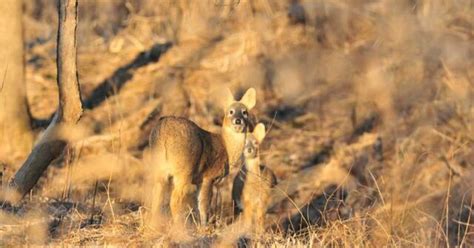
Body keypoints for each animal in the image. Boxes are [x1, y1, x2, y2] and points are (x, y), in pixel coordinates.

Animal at [147, 87, 256, 229]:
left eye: (245, 112)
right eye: (230, 111)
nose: (238, 120)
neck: (226, 148)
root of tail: (165, 130)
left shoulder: (199, 180)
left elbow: (199, 204)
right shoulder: (208, 176)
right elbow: (204, 205)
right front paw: (204, 227)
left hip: (159, 166)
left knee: (156, 196)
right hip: (184, 169)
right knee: (175, 199)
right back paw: (180, 229)